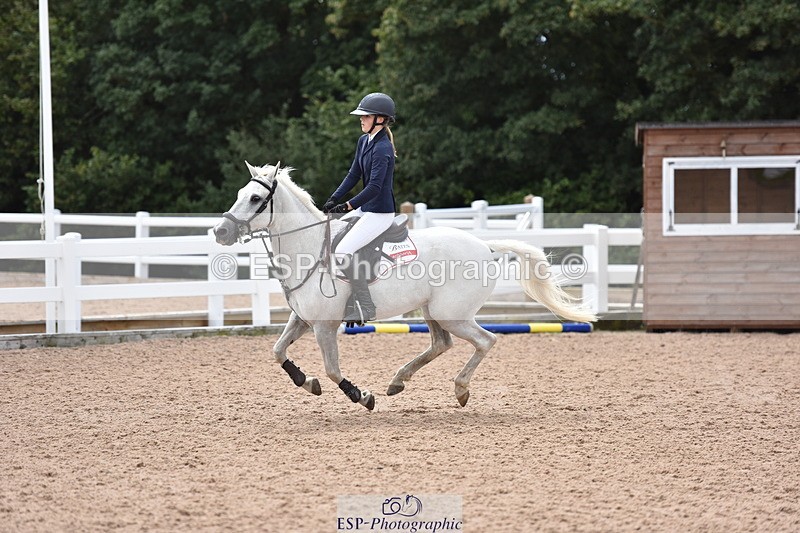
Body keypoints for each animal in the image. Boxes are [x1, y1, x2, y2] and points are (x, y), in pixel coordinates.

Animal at [212, 162, 596, 410]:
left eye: (255, 199)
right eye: (240, 193)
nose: (221, 231)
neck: (307, 247)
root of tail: (484, 247)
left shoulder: (324, 325)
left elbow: (333, 369)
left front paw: (361, 396)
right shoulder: (303, 319)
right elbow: (278, 351)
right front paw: (306, 382)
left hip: (451, 313)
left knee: (485, 341)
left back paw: (460, 390)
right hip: (431, 310)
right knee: (441, 344)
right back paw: (398, 381)